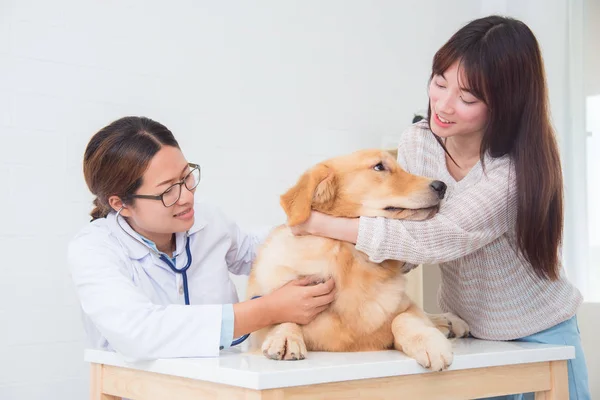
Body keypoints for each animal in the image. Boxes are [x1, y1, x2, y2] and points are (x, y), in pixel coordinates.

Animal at [245, 148, 468, 370]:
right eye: (379, 166)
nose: (441, 186)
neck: (349, 258)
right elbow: (281, 316)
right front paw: (284, 337)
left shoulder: (404, 309)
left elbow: (404, 317)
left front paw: (430, 342)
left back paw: (449, 322)